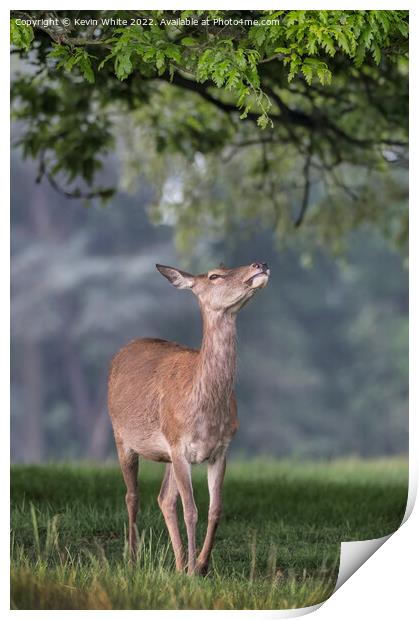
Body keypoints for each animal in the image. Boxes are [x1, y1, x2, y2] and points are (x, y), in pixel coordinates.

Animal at [108, 260, 270, 572]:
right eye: (215, 275)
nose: (260, 264)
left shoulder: (220, 449)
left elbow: (215, 508)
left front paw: (202, 565)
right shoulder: (179, 446)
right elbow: (191, 510)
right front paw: (195, 570)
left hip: (167, 456)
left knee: (164, 498)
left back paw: (180, 561)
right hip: (121, 436)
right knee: (132, 495)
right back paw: (133, 558)